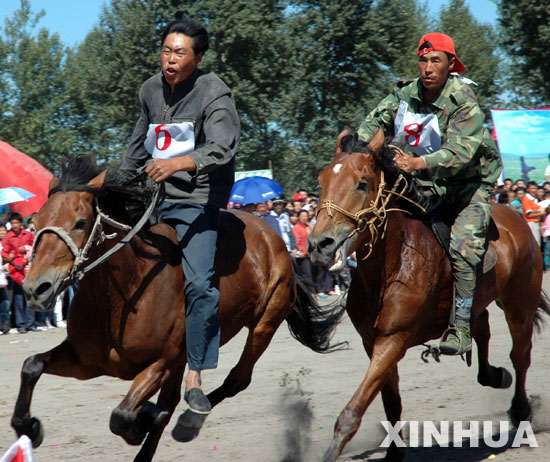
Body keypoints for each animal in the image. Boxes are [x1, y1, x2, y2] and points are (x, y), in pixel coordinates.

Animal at [10, 156, 342, 462]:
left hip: (264, 323)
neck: (123, 294)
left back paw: (187, 419)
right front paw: (29, 427)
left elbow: (123, 416)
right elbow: (31, 365)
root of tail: (273, 237)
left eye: (80, 223)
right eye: (36, 223)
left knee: (234, 381)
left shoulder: (162, 362)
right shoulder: (87, 361)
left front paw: (143, 421)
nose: (36, 288)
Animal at [308, 130, 548, 462]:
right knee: (482, 327)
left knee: (520, 355)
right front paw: (394, 453)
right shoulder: (374, 342)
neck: (394, 261)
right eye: (321, 181)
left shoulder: (392, 340)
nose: (320, 245)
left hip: (519, 303)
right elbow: (391, 403)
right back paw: (492, 373)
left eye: (362, 183)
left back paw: (520, 410)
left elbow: (352, 413)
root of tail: (520, 221)